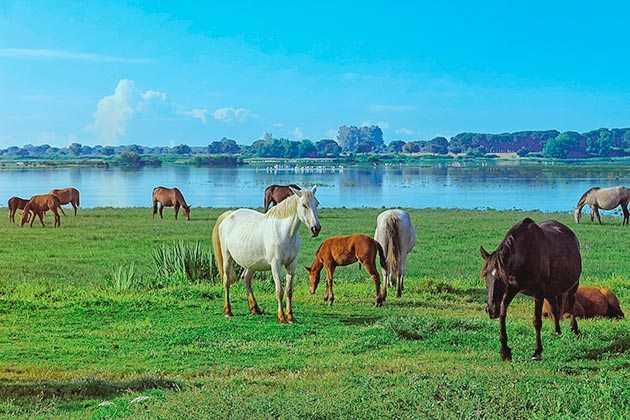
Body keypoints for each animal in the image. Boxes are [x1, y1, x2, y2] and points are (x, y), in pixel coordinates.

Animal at [214, 185, 320, 324]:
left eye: (316, 204)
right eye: (304, 205)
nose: (316, 229)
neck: (284, 233)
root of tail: (229, 215)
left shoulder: (291, 265)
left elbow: (289, 291)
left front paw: (290, 317)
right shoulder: (275, 265)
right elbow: (279, 291)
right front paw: (281, 317)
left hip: (251, 264)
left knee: (246, 280)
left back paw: (254, 309)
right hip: (227, 257)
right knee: (226, 281)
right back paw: (228, 311)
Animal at [482, 218, 584, 360]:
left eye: (502, 277)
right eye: (485, 274)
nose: (491, 310)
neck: (525, 253)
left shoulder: (539, 292)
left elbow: (537, 321)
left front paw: (537, 351)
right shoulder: (512, 288)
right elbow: (502, 313)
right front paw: (504, 351)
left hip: (573, 285)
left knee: (572, 303)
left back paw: (574, 329)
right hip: (550, 290)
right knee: (554, 307)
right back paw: (557, 331)